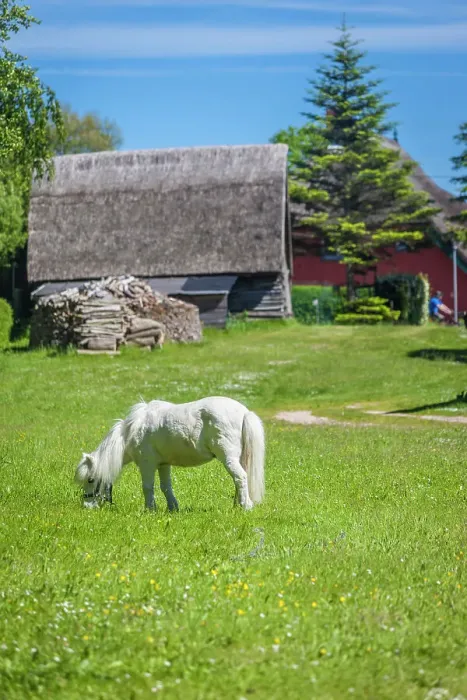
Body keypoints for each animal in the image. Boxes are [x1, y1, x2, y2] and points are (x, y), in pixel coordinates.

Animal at [74, 396, 265, 511]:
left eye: (90, 480)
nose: (87, 505)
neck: (132, 431)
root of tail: (244, 412)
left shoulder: (147, 464)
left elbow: (148, 487)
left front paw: (150, 509)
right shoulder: (163, 465)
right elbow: (166, 487)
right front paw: (172, 508)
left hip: (228, 457)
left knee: (240, 477)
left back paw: (245, 506)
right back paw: (237, 505)